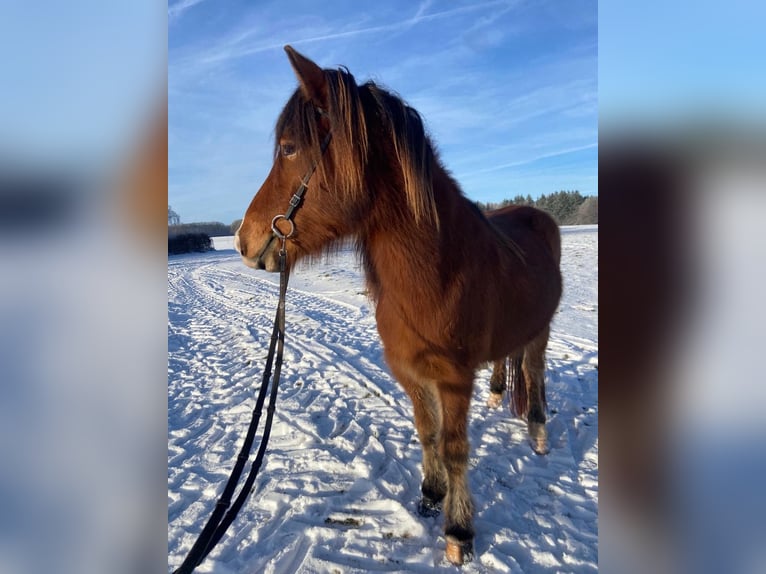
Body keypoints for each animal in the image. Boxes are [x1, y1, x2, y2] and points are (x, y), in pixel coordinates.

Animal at [235, 46, 562, 565]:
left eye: (288, 148)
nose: (242, 240)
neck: (435, 275)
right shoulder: (410, 372)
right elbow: (427, 433)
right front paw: (430, 494)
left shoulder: (452, 379)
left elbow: (454, 447)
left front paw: (459, 531)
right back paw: (497, 397)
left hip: (541, 332)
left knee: (533, 372)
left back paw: (538, 434)